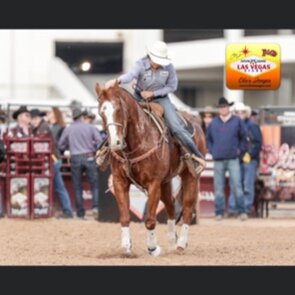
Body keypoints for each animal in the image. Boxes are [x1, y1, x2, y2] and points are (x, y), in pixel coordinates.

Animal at [95, 81, 206, 256]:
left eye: (118, 109)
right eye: (101, 112)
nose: (115, 143)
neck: (139, 140)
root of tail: (195, 121)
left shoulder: (153, 183)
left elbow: (150, 220)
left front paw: (153, 248)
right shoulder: (120, 182)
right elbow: (125, 217)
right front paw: (126, 247)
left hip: (190, 176)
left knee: (188, 208)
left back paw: (181, 244)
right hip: (166, 182)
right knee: (170, 205)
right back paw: (172, 240)